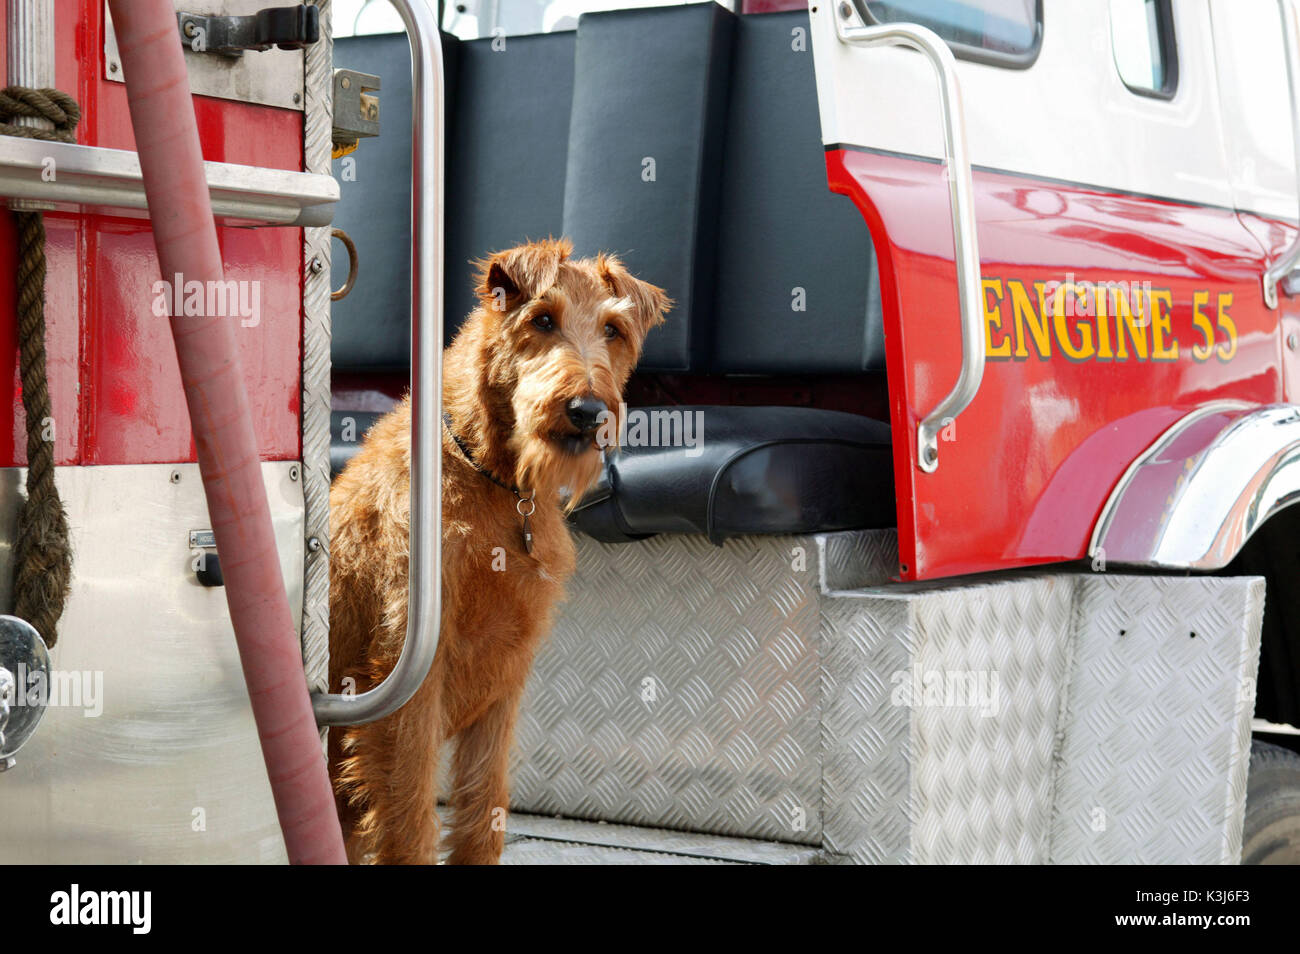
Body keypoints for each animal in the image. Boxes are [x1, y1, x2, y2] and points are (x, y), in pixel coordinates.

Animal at [325, 239, 670, 868]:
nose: (588, 409)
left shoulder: (504, 679)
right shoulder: (409, 675)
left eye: (613, 329)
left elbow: (485, 807)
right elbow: (411, 816)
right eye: (543, 319)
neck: (495, 481)